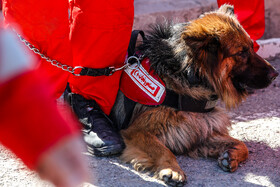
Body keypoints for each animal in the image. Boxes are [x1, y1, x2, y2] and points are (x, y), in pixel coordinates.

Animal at [111, 4, 278, 186]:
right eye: (241, 53)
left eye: (252, 47)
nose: (275, 74)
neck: (187, 73)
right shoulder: (137, 131)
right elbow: (162, 150)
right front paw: (172, 170)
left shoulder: (199, 131)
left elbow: (242, 144)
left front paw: (232, 155)